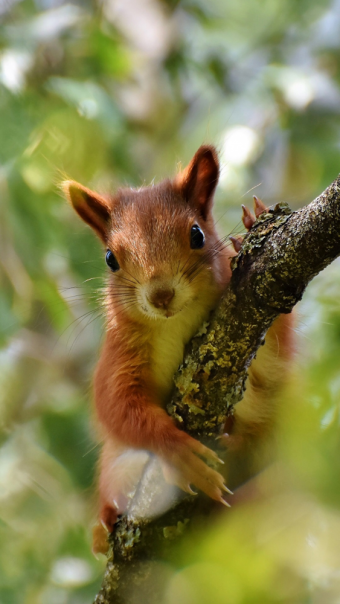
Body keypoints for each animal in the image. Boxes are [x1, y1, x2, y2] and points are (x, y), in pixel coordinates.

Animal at [62, 144, 294, 556]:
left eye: (197, 234)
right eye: (110, 258)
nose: (161, 295)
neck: (174, 322)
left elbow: (273, 360)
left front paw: (250, 231)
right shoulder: (118, 356)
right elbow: (118, 407)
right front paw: (178, 452)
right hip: (113, 467)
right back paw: (104, 527)